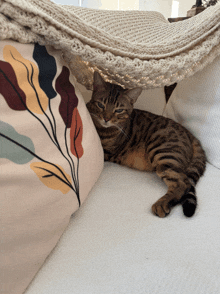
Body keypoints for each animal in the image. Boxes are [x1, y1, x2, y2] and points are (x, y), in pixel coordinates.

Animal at [86, 72, 206, 217]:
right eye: (100, 105)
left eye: (119, 110)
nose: (106, 118)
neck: (102, 128)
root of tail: (190, 134)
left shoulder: (106, 151)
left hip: (163, 153)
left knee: (183, 183)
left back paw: (162, 204)